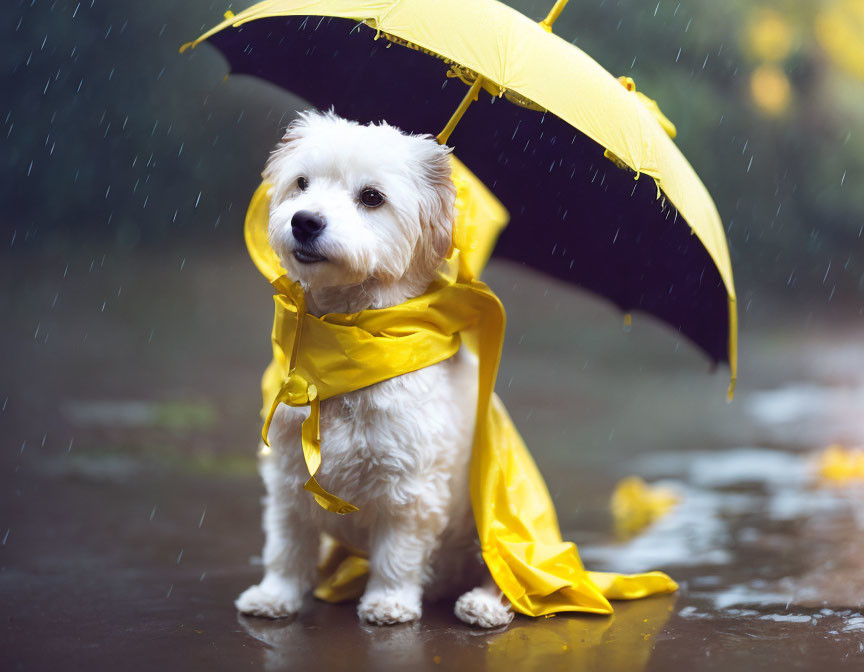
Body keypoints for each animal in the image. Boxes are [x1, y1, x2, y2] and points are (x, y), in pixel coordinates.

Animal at [236, 111, 512, 632]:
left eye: (371, 197)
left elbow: (397, 554)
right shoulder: (287, 479)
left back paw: (484, 604)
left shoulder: (411, 489)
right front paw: (276, 595)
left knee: (498, 568)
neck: (342, 348)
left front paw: (389, 602)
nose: (304, 221)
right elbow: (287, 547)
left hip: (491, 520)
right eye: (301, 183)